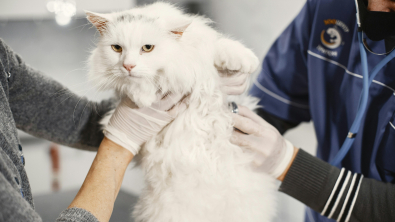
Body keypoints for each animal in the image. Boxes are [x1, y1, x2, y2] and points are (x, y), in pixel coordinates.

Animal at [87, 2, 278, 222]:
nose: (128, 66)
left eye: (147, 48)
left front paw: (245, 60)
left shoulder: (201, 50)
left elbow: (220, 46)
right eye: (116, 48)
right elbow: (132, 85)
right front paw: (143, 97)